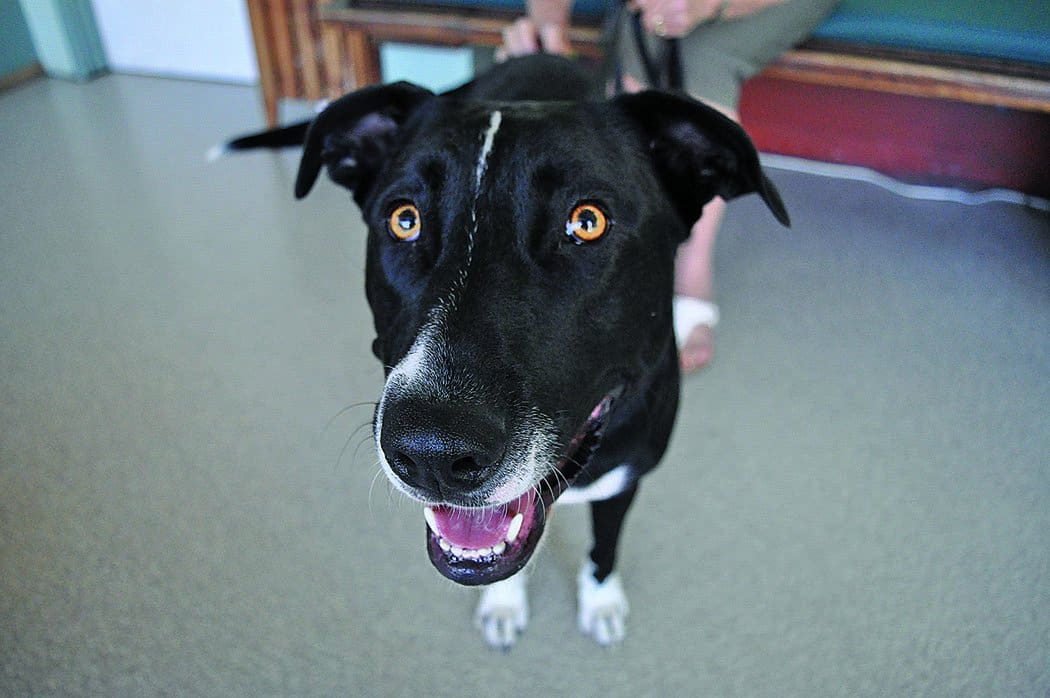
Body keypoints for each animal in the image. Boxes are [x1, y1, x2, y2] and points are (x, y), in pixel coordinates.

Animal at [227, 54, 789, 646]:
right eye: (404, 219)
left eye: (588, 222)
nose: (432, 455)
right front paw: (503, 604)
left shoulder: (626, 478)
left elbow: (605, 543)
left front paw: (601, 600)